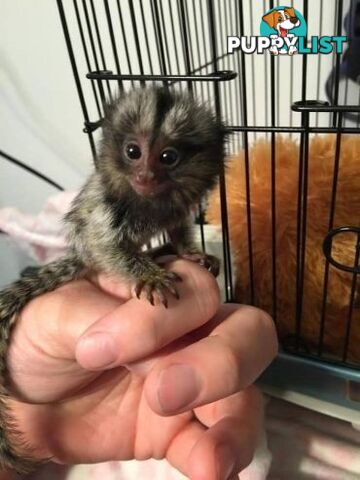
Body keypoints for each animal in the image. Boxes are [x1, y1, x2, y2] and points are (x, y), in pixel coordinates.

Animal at [0, 87, 226, 472]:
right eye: (133, 152)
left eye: (168, 157)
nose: (145, 175)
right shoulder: (105, 210)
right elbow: (104, 246)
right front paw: (149, 274)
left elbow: (178, 228)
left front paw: (190, 253)